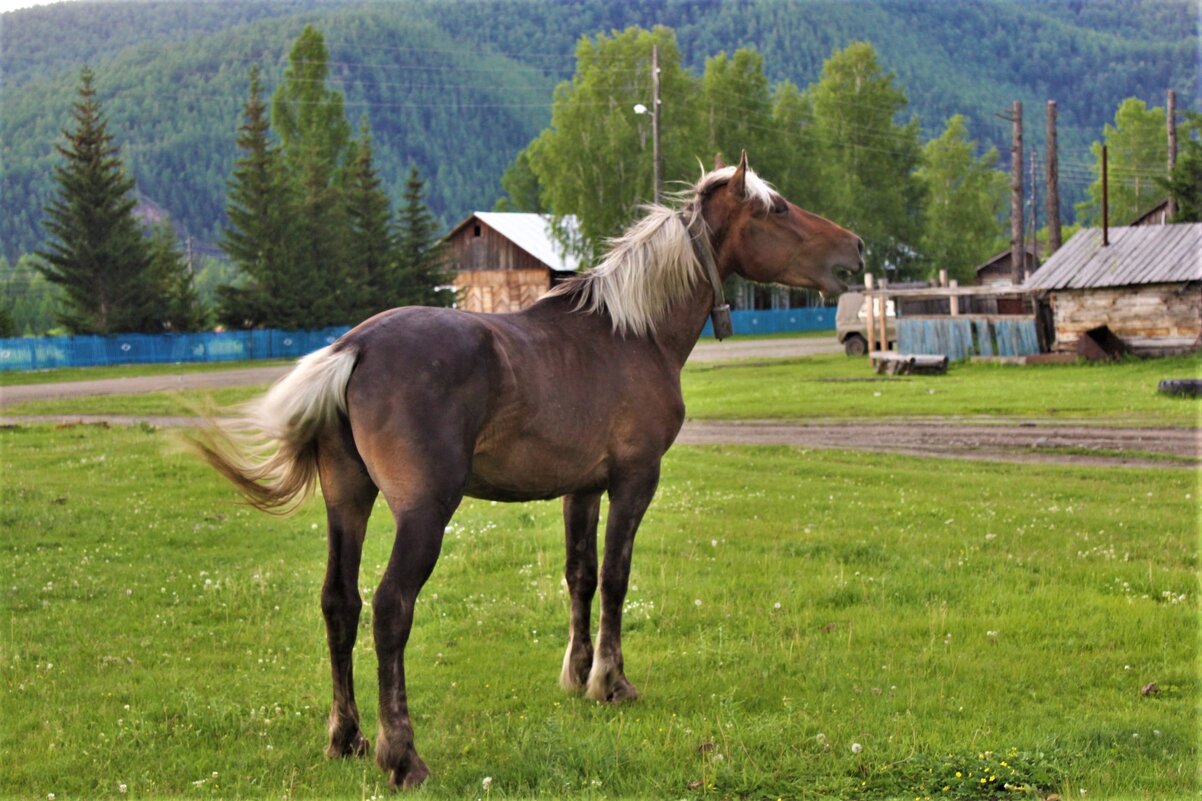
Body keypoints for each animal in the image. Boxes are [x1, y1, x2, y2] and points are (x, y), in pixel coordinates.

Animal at [192, 151, 860, 784]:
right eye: (779, 209)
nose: (853, 246)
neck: (632, 333)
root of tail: (354, 347)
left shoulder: (581, 489)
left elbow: (580, 576)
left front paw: (578, 673)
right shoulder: (634, 481)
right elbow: (615, 577)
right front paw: (611, 682)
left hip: (348, 502)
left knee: (340, 604)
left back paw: (347, 737)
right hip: (422, 513)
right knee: (390, 608)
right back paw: (402, 755)